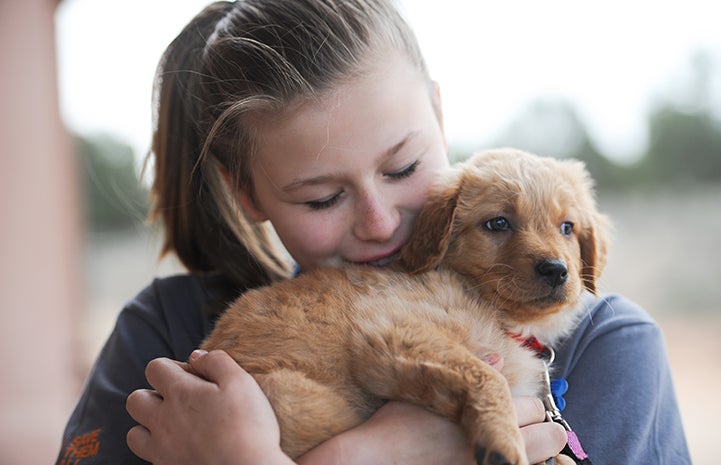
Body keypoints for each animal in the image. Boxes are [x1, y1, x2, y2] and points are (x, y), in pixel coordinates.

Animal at [201, 147, 608, 462]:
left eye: (567, 228)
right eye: (498, 223)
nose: (556, 270)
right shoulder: (392, 334)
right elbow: (487, 376)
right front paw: (504, 443)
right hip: (305, 403)